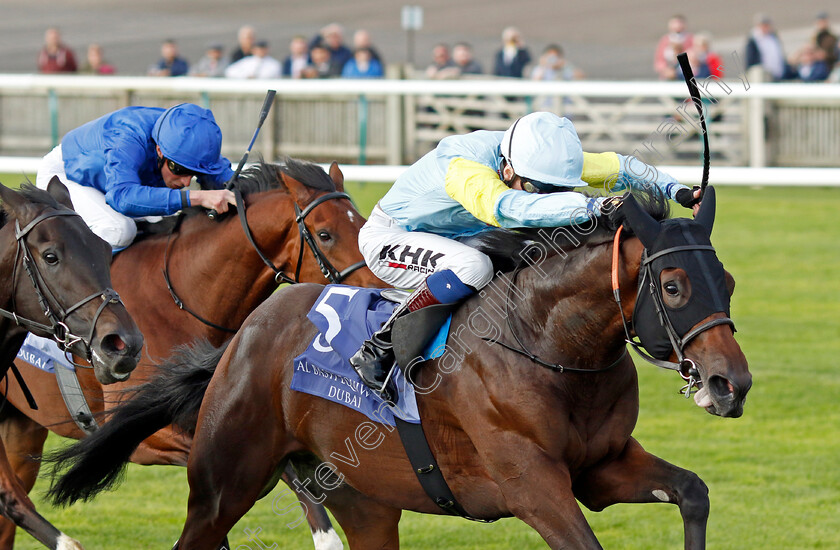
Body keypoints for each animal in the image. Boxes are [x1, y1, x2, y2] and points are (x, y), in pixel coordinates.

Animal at [49, 188, 752, 548]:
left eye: (728, 282)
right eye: (674, 285)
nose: (731, 384)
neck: (549, 344)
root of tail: (244, 334)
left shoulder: (600, 468)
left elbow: (693, 492)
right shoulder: (531, 484)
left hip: (364, 501)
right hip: (225, 481)